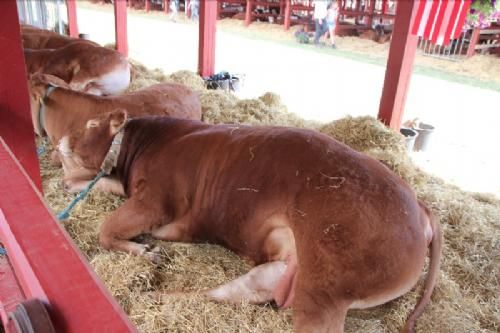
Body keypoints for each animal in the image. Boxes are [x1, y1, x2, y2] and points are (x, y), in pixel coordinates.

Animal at [57, 112, 442, 332]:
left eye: (90, 123)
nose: (58, 137)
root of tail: (422, 209)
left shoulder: (156, 199)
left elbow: (106, 229)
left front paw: (144, 251)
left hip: (329, 288)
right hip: (289, 271)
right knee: (236, 291)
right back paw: (158, 294)